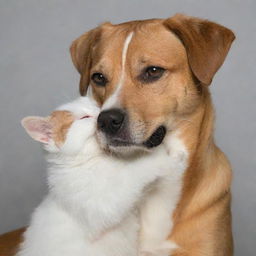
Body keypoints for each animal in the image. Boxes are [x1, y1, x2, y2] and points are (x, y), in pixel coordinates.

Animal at [17, 96, 180, 256]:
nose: (102, 116)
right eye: (84, 117)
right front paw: (162, 154)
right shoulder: (103, 204)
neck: (95, 159)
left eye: (98, 107)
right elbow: (134, 172)